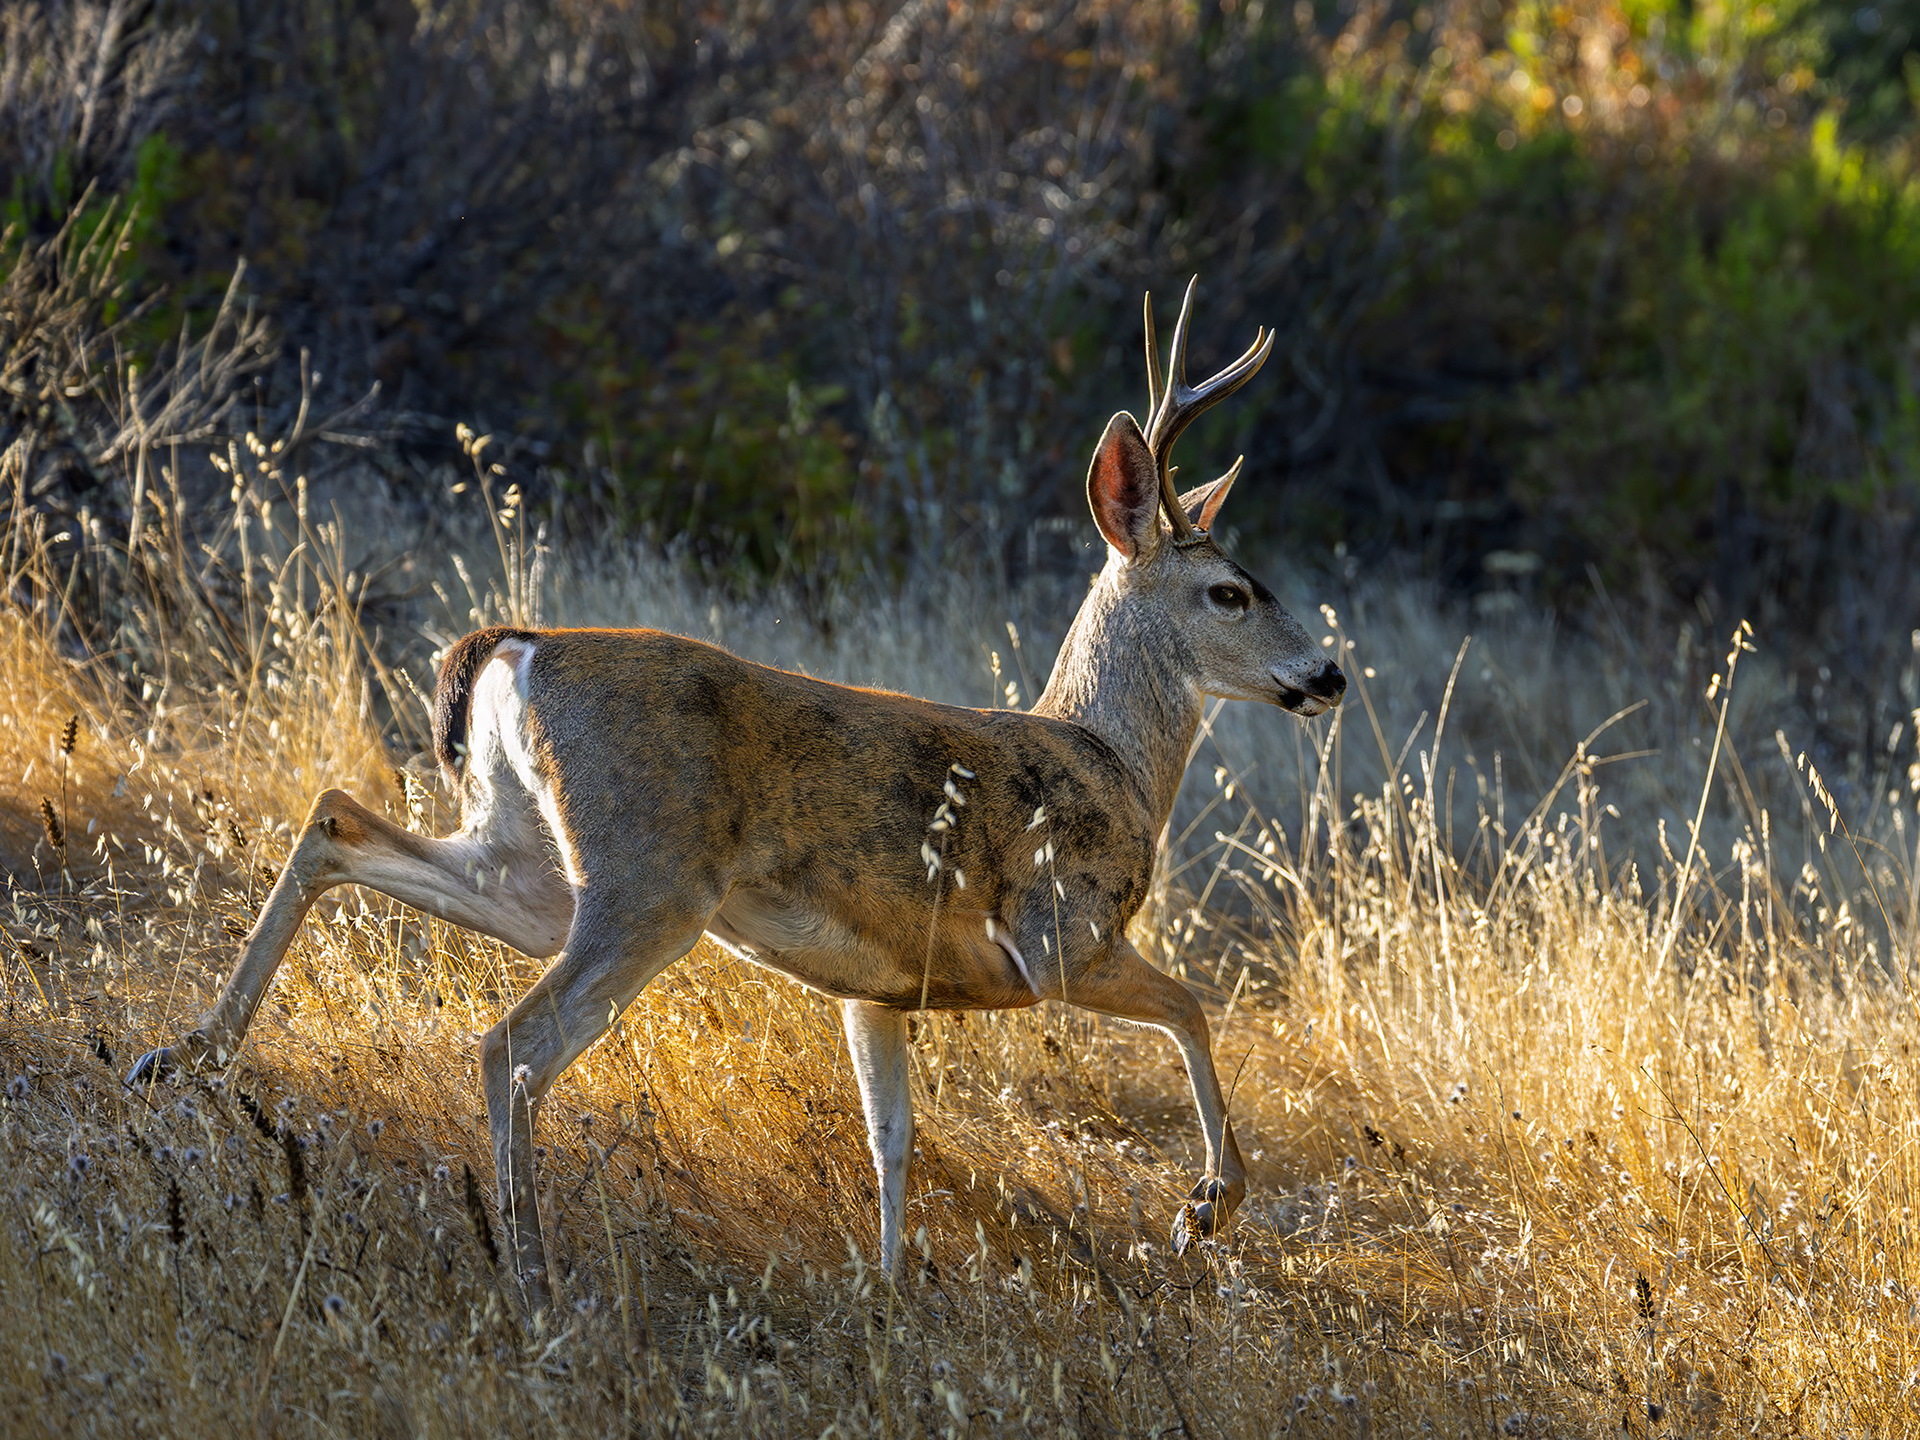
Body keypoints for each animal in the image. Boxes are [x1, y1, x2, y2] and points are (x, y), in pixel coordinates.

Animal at [127, 280, 1345, 1313]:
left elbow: (890, 1137)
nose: (1328, 673)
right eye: (1230, 590)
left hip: (533, 863)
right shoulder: (1058, 933)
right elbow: (1193, 1008)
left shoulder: (877, 990)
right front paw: (1208, 1207)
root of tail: (516, 647)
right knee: (510, 1044)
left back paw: (184, 1054)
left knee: (340, 818)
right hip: (650, 879)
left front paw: (891, 1294)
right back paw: (535, 1280)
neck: (1112, 761)